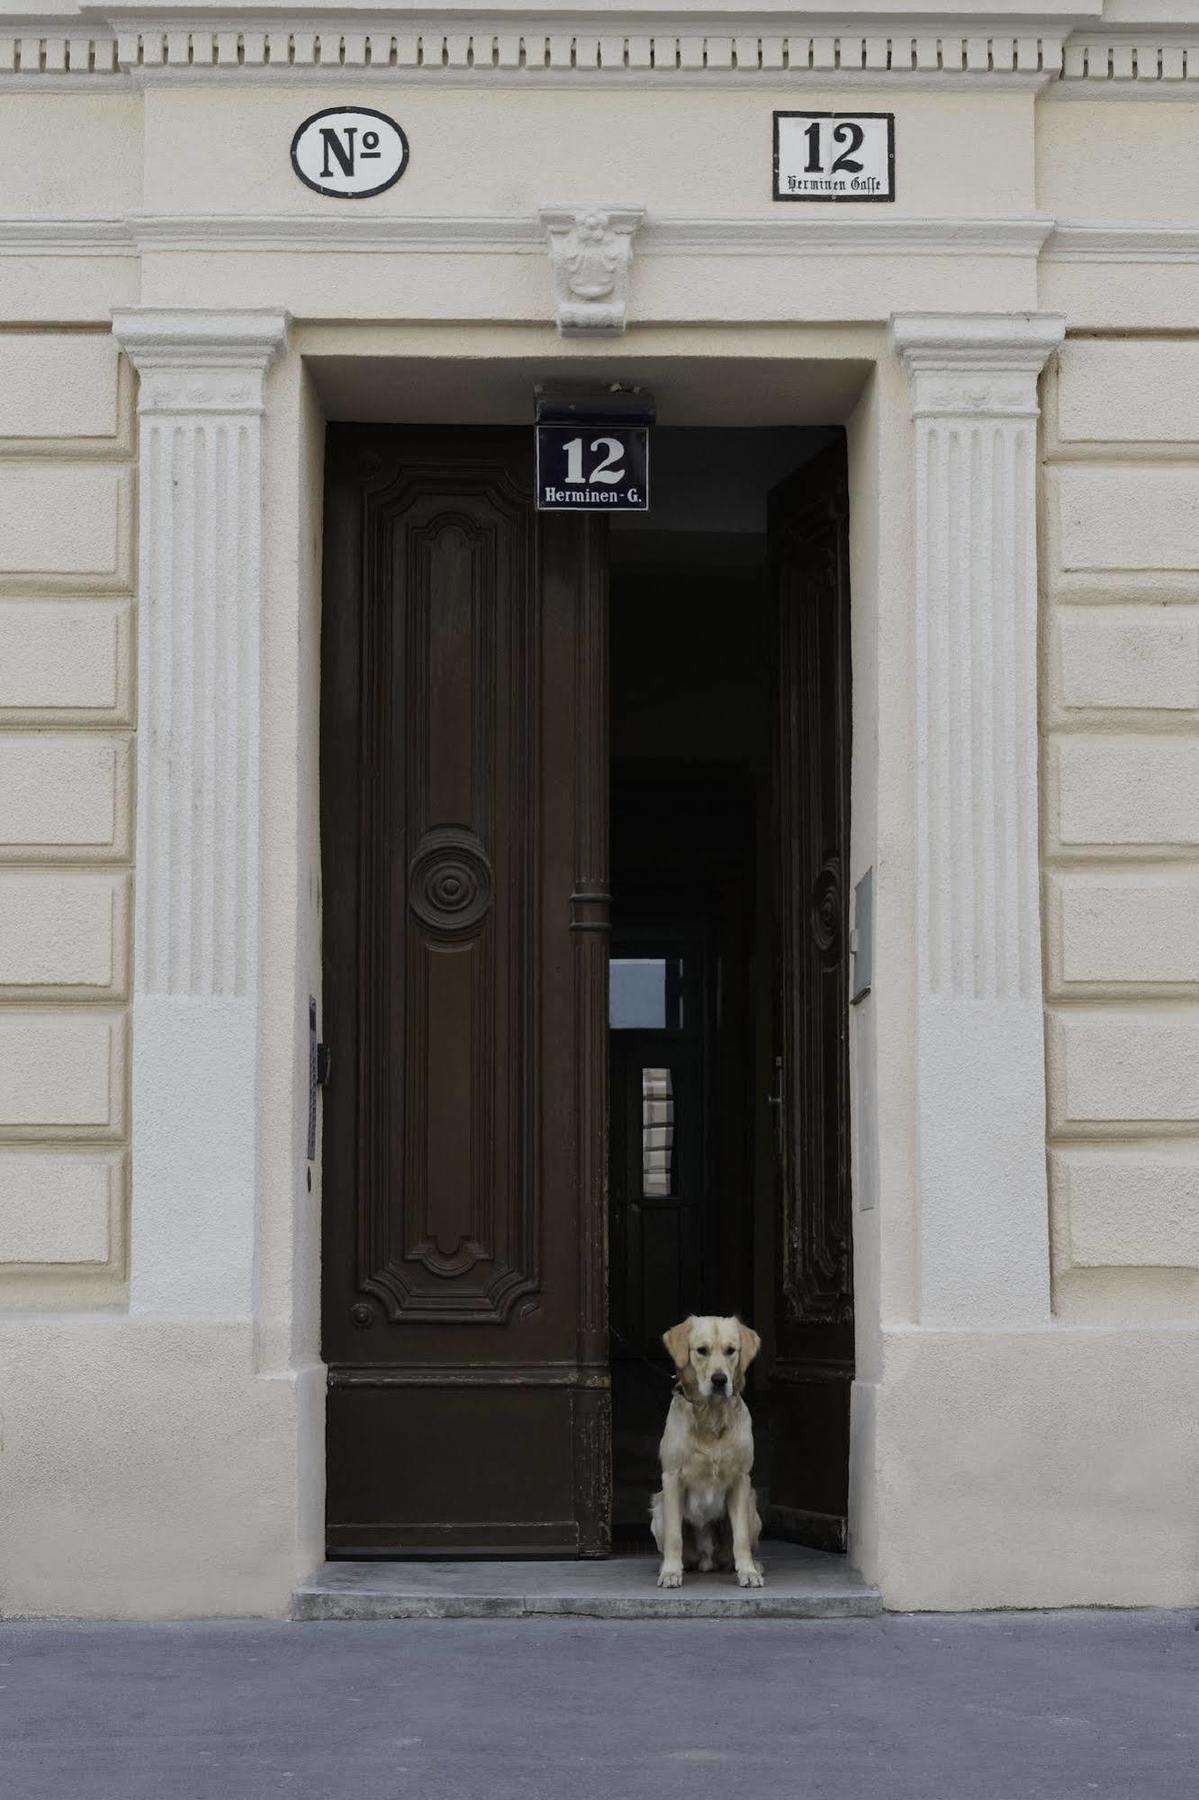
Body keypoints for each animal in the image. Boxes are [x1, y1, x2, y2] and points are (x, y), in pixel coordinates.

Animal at [648, 1310, 759, 1591]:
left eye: (731, 1350)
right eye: (702, 1350)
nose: (719, 1380)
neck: (711, 1414)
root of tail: (707, 1559)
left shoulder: (741, 1480)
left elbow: (741, 1539)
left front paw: (748, 1572)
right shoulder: (672, 1478)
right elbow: (675, 1537)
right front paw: (671, 1572)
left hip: (753, 1507)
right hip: (658, 1509)